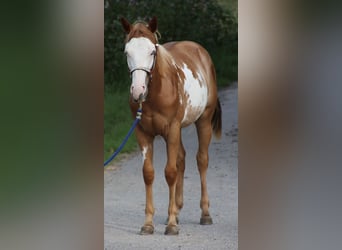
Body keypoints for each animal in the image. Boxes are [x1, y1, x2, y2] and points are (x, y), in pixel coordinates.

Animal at [120, 16, 222, 235]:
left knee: (201, 160)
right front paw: (149, 224)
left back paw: (205, 214)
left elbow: (170, 172)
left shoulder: (172, 129)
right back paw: (175, 210)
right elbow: (149, 173)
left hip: (203, 121)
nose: (138, 91)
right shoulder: (142, 133)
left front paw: (172, 226)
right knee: (182, 159)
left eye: (152, 51)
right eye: (127, 52)